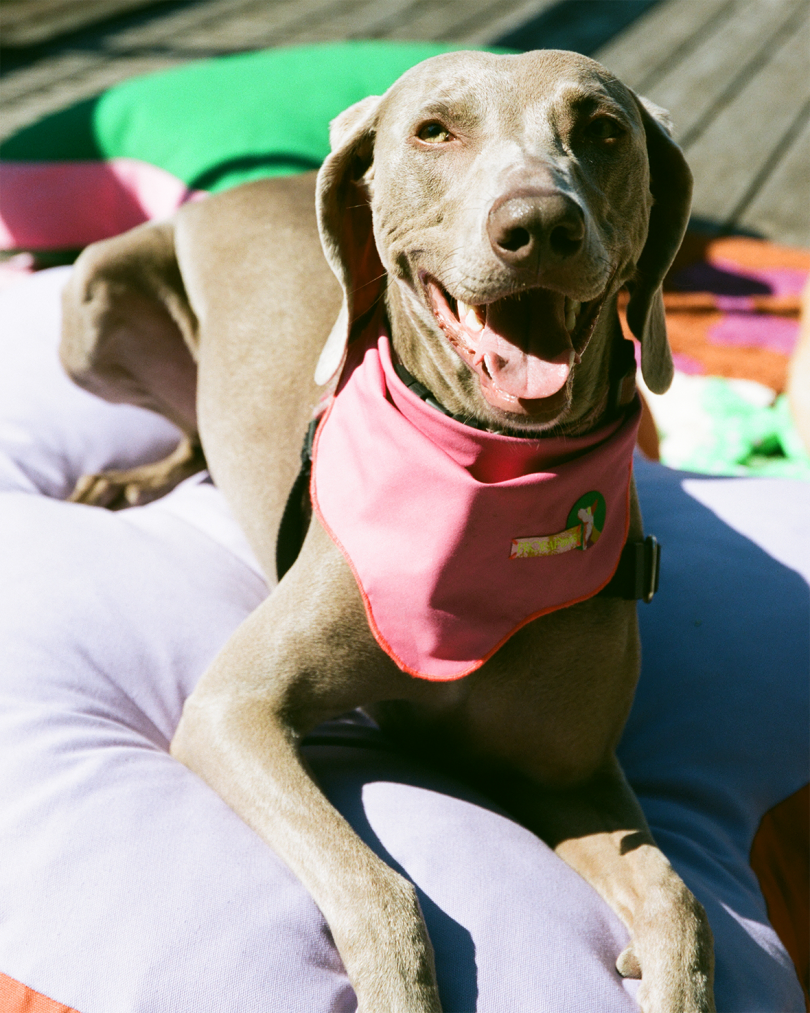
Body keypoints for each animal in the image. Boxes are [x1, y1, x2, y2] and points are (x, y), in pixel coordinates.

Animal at [60, 45, 712, 1013]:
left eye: (603, 131)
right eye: (433, 130)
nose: (539, 224)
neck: (495, 480)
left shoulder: (573, 774)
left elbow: (679, 901)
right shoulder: (232, 710)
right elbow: (381, 891)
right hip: (91, 297)